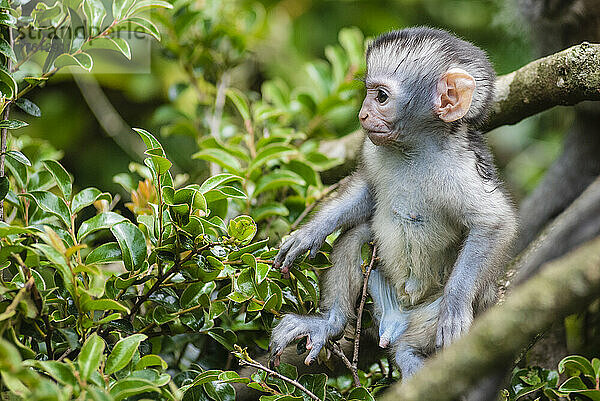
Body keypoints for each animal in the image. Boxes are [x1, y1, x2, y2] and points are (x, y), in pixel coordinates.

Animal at [270, 26, 516, 376]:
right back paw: (329, 323)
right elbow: (366, 193)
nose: (363, 114)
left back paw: (411, 355)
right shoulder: (373, 149)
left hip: (426, 317)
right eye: (368, 93)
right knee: (357, 235)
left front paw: (455, 308)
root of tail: (395, 321)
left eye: (381, 97)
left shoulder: (461, 170)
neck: (414, 150)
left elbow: (494, 223)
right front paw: (310, 233)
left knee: (419, 338)